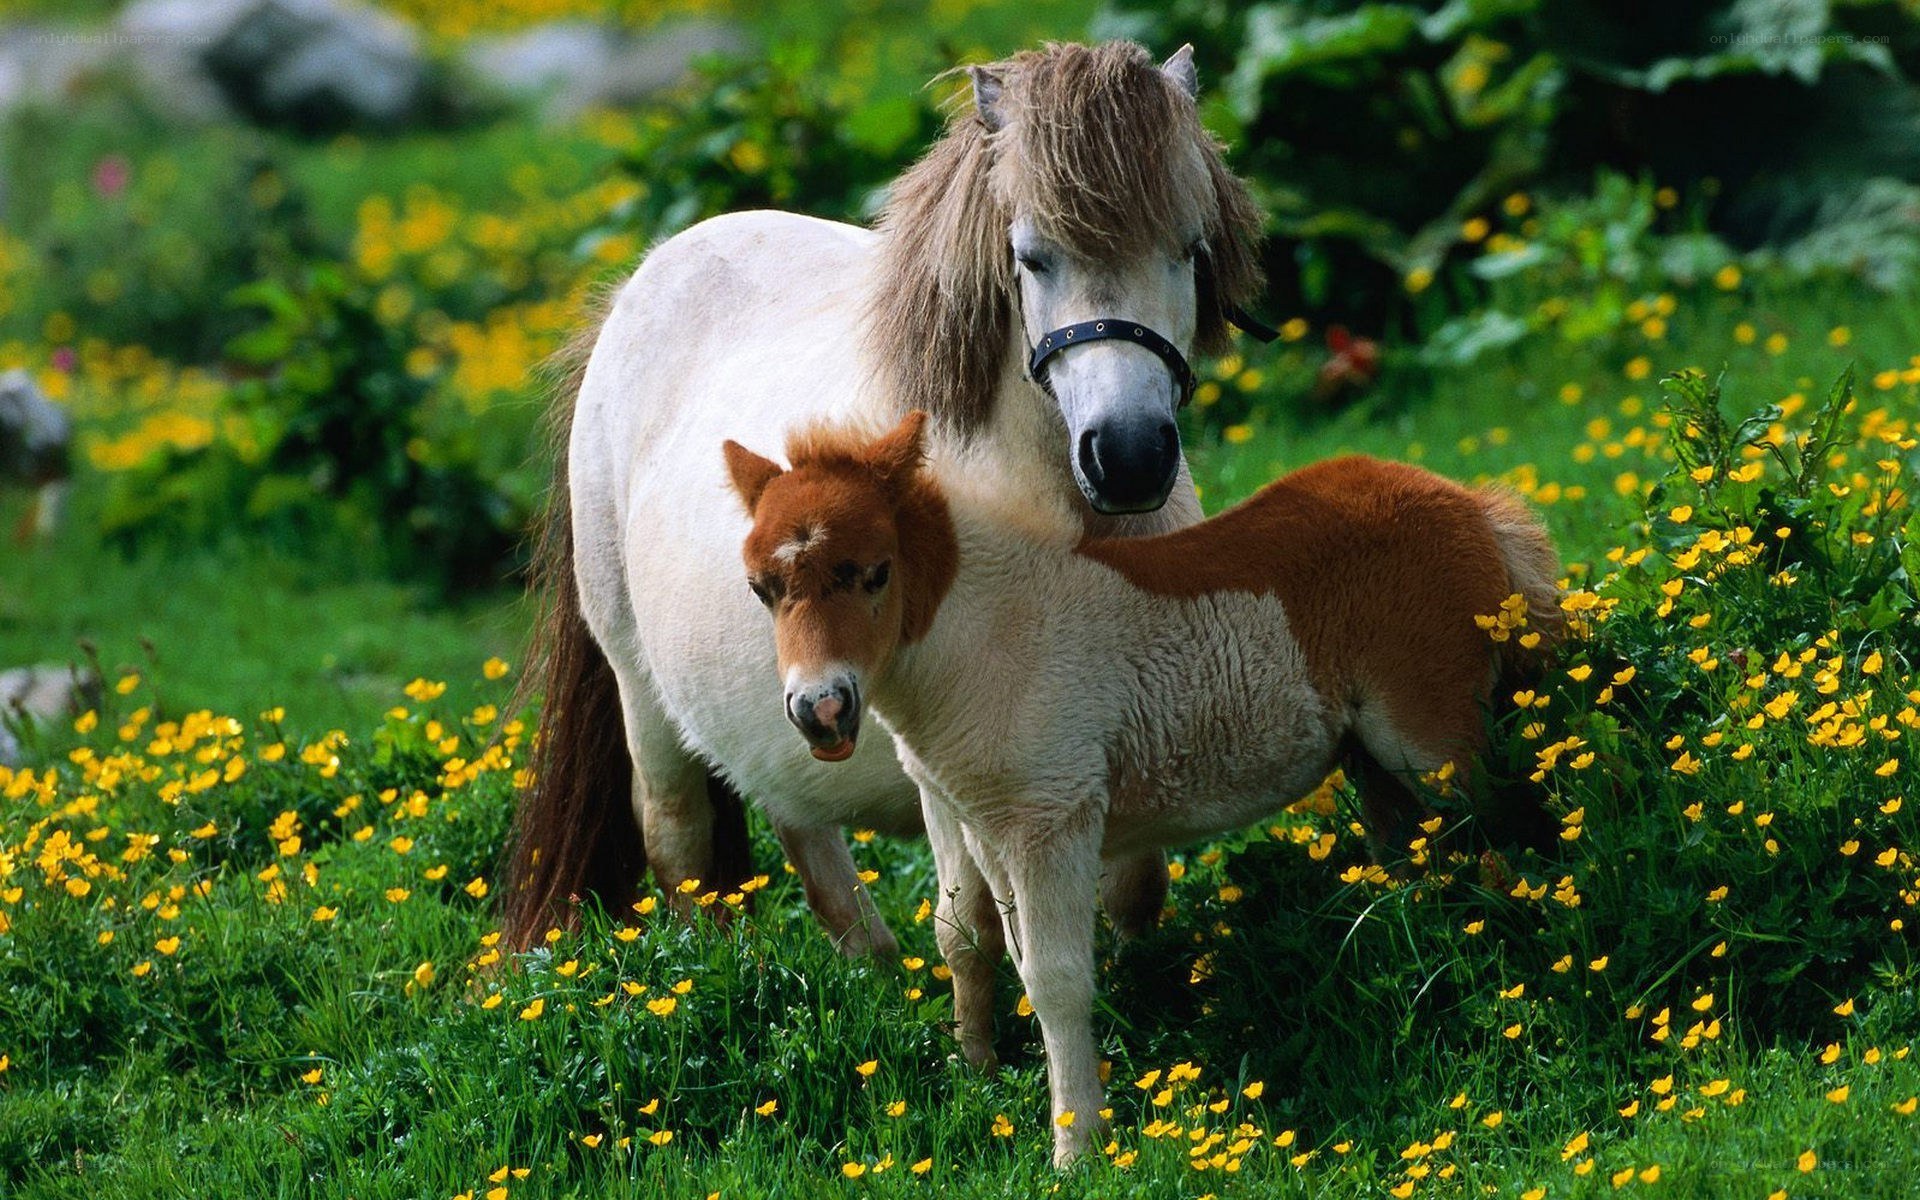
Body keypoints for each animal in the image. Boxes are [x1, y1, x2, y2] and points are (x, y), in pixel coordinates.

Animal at [501, 40, 1270, 954]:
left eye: (1188, 249)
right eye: (1032, 256)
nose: (1127, 456)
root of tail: (632, 294)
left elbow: (1134, 889)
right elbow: (984, 921)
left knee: (798, 820)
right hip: (641, 690)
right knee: (678, 837)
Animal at [725, 410, 1564, 1164]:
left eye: (874, 573)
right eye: (761, 589)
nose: (820, 710)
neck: (989, 636)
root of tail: (1469, 503)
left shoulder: (1053, 820)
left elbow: (1058, 980)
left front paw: (1077, 1149)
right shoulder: (988, 829)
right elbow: (998, 952)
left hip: (1433, 743)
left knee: (1516, 829)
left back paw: (1531, 988)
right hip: (1375, 761)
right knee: (1419, 857)